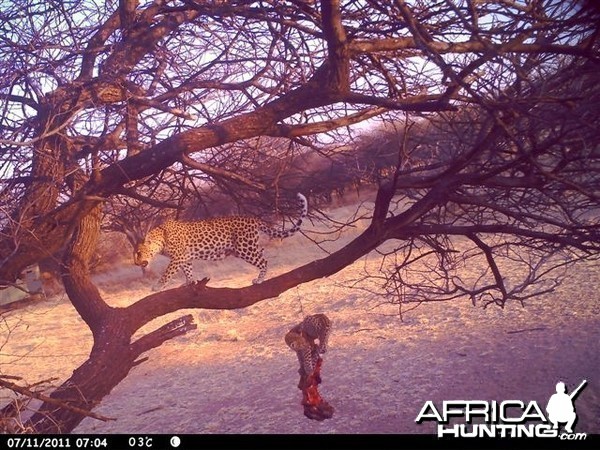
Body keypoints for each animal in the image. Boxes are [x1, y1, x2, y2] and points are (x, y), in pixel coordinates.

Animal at [134, 192, 308, 290]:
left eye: (139, 253)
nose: (136, 264)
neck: (159, 241)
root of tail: (253, 218)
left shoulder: (177, 257)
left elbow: (167, 273)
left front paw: (157, 286)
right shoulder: (184, 257)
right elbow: (187, 270)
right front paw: (189, 282)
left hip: (245, 248)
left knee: (263, 261)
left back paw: (259, 280)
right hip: (249, 246)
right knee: (262, 253)